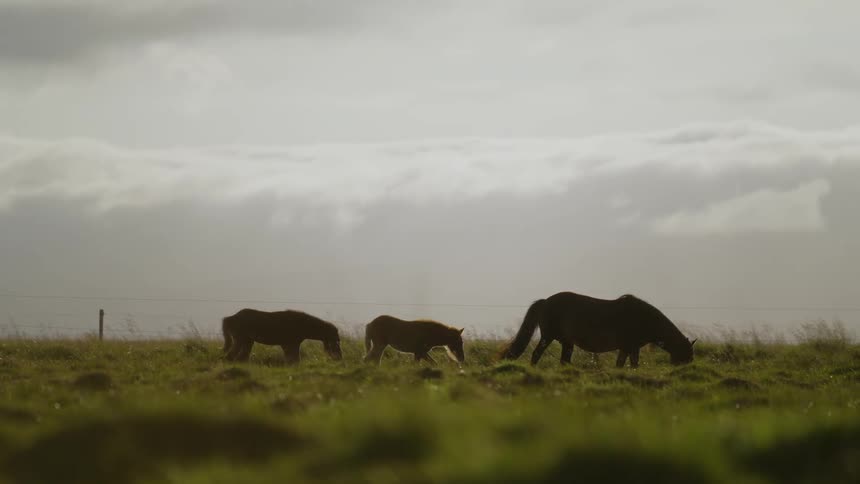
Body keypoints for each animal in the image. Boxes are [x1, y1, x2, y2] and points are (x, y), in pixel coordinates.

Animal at [499, 292, 696, 367]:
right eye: (686, 355)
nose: (682, 368)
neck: (643, 318)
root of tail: (545, 301)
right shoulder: (629, 347)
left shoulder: (629, 348)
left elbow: (626, 364)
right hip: (548, 337)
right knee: (536, 354)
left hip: (567, 343)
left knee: (564, 361)